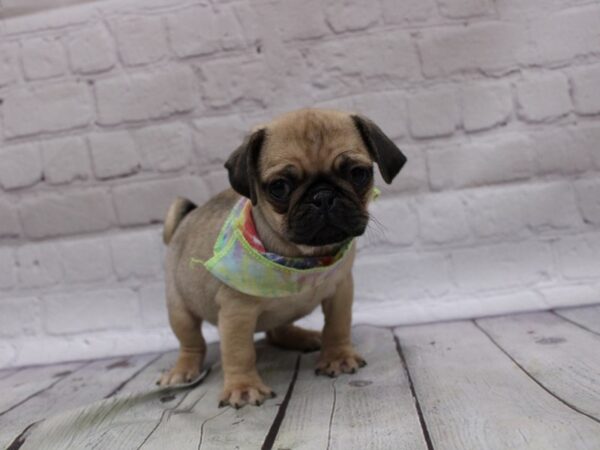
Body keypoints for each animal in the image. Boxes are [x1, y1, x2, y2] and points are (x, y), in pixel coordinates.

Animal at [157, 108, 406, 408]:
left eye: (358, 174)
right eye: (279, 187)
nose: (323, 196)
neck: (301, 259)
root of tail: (184, 219)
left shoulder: (341, 289)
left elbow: (337, 324)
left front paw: (337, 357)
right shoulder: (236, 312)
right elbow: (239, 352)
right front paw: (243, 387)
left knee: (277, 329)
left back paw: (304, 337)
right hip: (179, 307)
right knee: (191, 342)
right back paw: (183, 370)